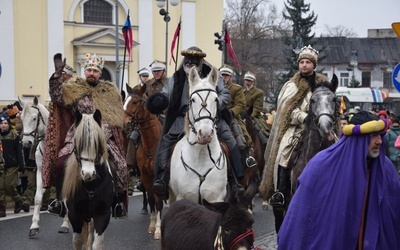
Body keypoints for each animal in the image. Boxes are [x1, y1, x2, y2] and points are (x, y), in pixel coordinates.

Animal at [19, 96, 69, 237]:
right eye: (21, 118)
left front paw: (65, 224)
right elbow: (37, 198)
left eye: (34, 118)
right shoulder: (41, 171)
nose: (26, 143)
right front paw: (34, 226)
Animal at [123, 83, 164, 238]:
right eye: (125, 100)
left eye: (135, 102)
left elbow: (158, 200)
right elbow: (152, 200)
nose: (124, 123)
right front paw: (152, 226)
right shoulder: (146, 176)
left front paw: (158, 229)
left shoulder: (158, 177)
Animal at [167, 67, 227, 205]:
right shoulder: (183, 197)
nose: (205, 134)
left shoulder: (215, 198)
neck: (201, 155)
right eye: (193, 100)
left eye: (216, 99)